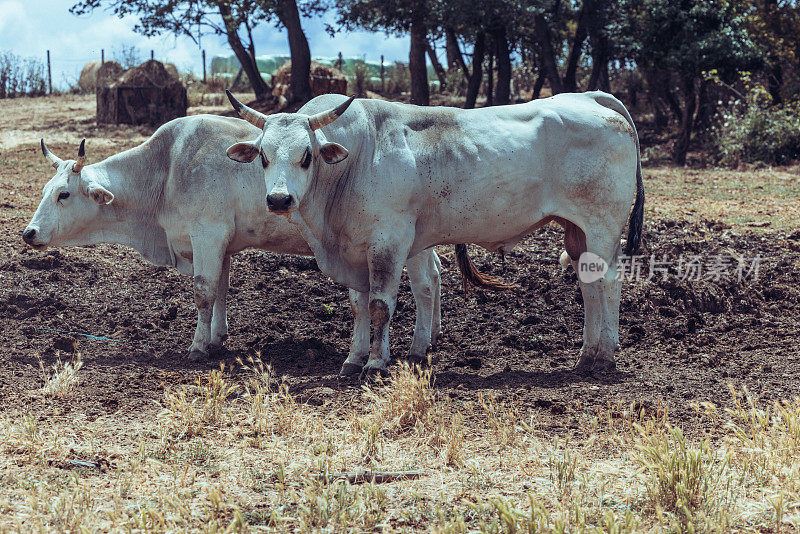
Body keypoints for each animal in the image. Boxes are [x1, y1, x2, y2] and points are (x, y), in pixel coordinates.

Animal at [21, 115, 444, 370]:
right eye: (43, 190)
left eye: (63, 194)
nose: (29, 233)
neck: (166, 168)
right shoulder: (219, 244)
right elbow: (221, 289)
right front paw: (217, 339)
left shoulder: (207, 233)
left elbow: (204, 292)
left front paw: (197, 346)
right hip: (419, 243)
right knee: (434, 278)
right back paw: (431, 339)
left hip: (398, 241)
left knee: (422, 286)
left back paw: (416, 348)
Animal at [223, 91, 644, 376]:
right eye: (263, 157)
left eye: (306, 156)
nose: (279, 199)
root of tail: (587, 97)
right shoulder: (354, 250)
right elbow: (359, 306)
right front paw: (353, 358)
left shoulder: (388, 243)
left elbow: (380, 306)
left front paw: (375, 363)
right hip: (577, 231)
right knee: (589, 284)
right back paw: (587, 354)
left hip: (602, 226)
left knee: (608, 282)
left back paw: (605, 355)